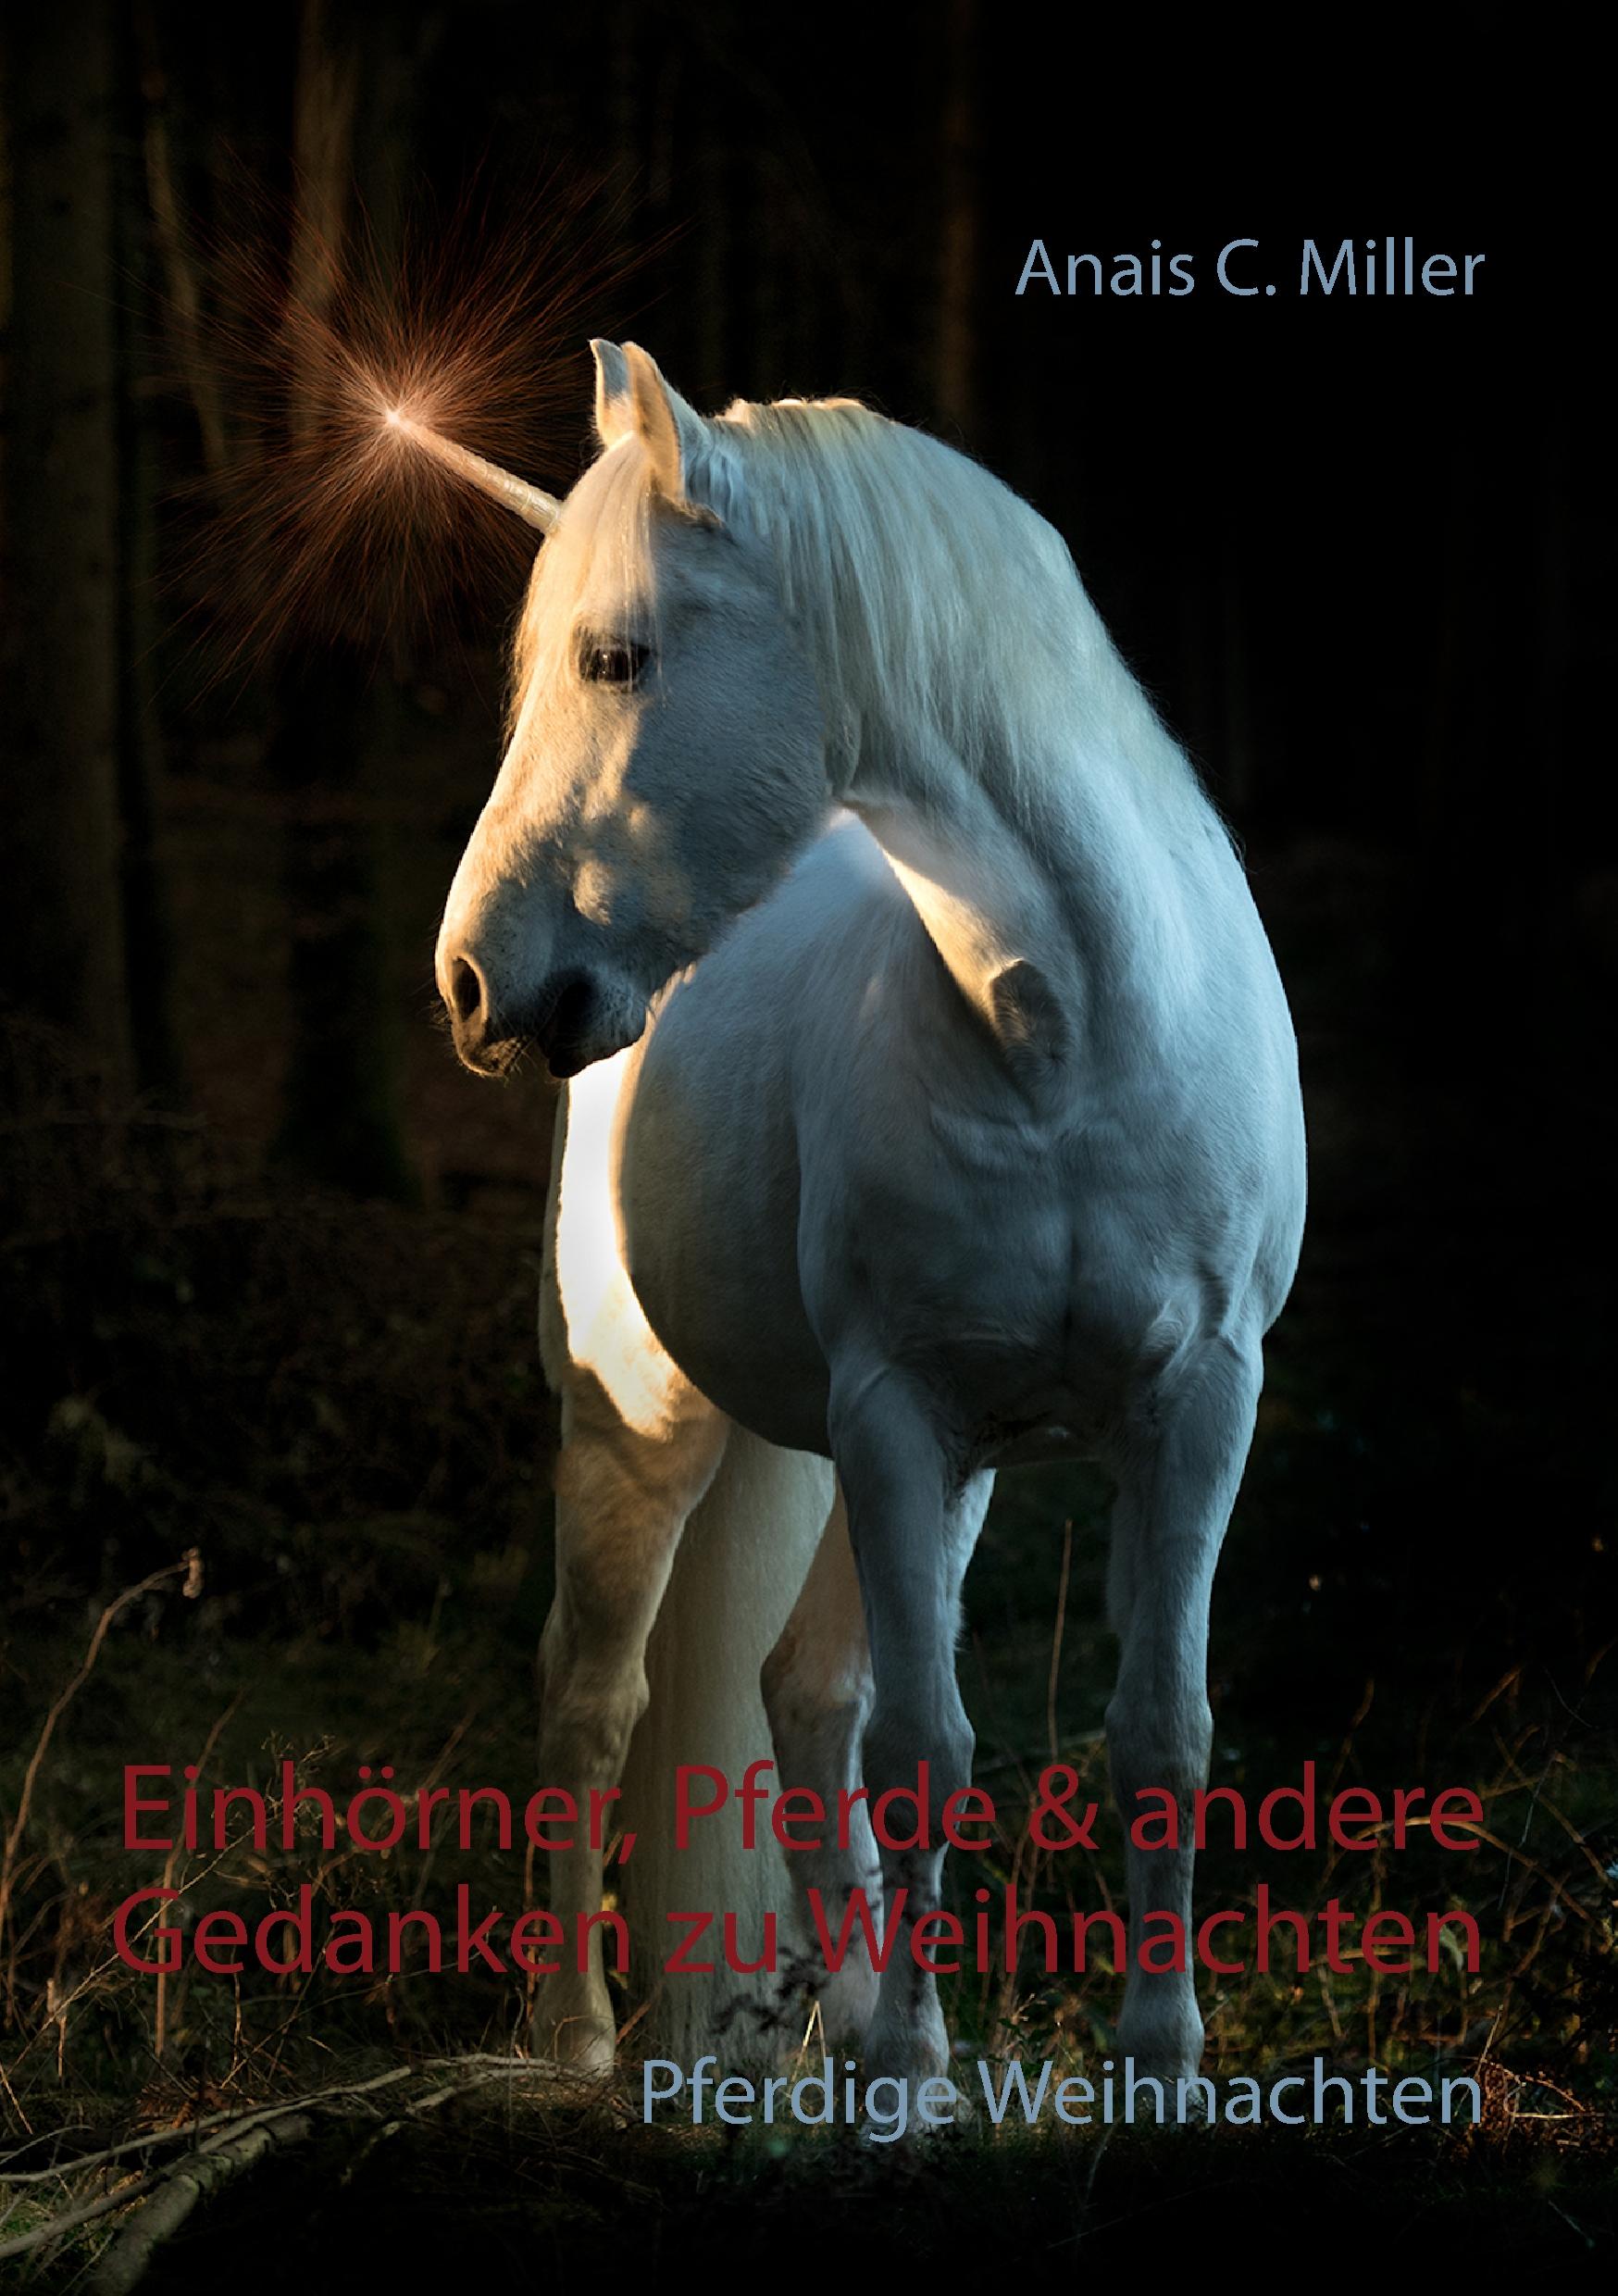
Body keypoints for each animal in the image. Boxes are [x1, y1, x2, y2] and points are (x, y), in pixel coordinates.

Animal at [432, 341, 1307, 2088]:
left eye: (614, 655)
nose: (476, 982)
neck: (1063, 1039)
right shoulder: (904, 1412)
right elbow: (920, 1750)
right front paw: (908, 2076)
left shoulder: (1191, 1405)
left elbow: (1159, 1734)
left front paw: (1155, 2060)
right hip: (647, 1423)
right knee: (595, 1698)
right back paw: (579, 2039)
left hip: (882, 1460)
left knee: (796, 1693)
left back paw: (827, 2015)